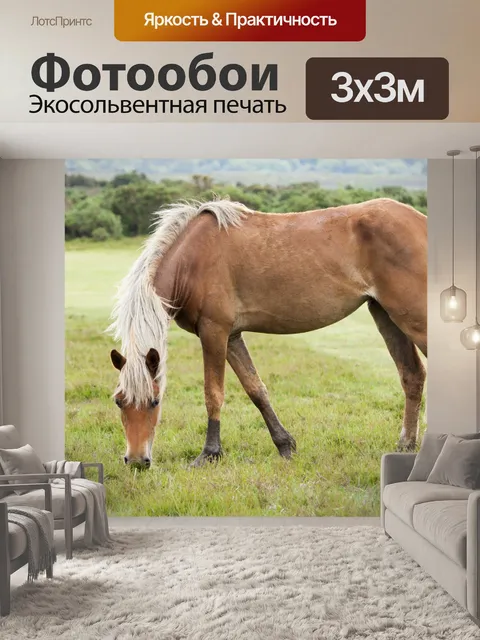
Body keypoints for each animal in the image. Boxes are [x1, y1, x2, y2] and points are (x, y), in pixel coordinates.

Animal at [108, 197, 427, 469]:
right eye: (119, 401)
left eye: (155, 401)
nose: (136, 461)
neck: (192, 260)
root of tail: (420, 221)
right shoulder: (232, 337)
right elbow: (256, 389)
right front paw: (285, 445)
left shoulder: (214, 332)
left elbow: (213, 393)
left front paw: (209, 454)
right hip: (385, 315)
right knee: (412, 376)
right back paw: (406, 445)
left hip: (414, 318)